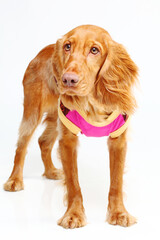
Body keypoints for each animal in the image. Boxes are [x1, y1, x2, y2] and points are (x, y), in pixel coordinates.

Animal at [4, 24, 139, 229]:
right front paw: (74, 215)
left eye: (94, 50)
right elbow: (73, 183)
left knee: (43, 141)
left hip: (55, 117)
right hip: (33, 111)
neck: (92, 102)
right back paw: (14, 180)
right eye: (68, 46)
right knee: (22, 145)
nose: (68, 79)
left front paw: (118, 213)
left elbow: (116, 182)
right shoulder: (68, 140)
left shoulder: (118, 140)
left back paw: (50, 172)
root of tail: (43, 50)